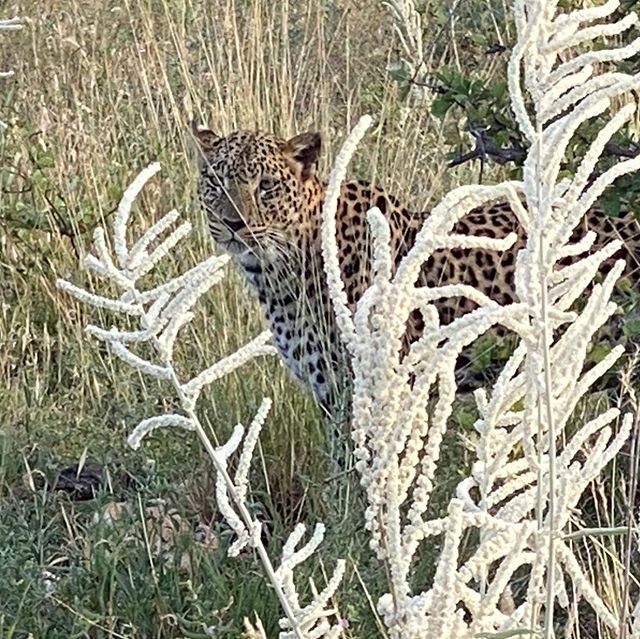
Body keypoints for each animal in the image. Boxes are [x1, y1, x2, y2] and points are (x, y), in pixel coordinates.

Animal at [192, 124, 640, 420]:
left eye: (266, 185)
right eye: (216, 181)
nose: (233, 224)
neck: (276, 271)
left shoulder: (369, 389)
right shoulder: (329, 394)